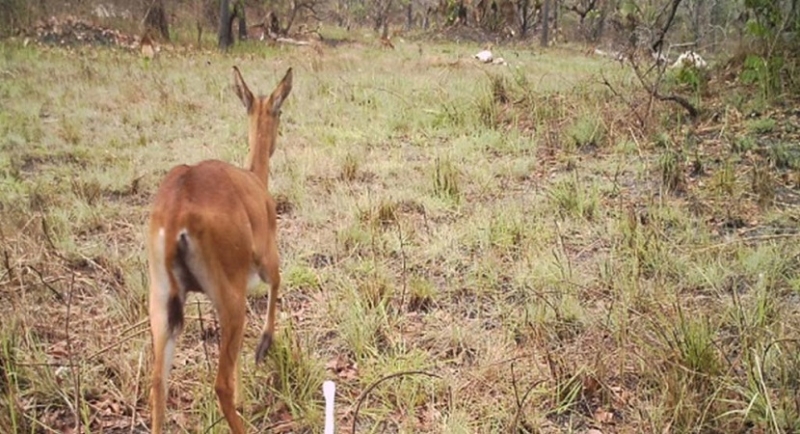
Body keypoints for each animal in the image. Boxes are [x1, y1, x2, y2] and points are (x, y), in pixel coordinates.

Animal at [145, 67, 292, 434]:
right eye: (280, 110)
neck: (255, 181)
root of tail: (177, 211)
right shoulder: (267, 257)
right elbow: (278, 282)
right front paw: (263, 347)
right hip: (230, 301)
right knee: (220, 384)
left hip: (161, 303)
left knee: (157, 382)